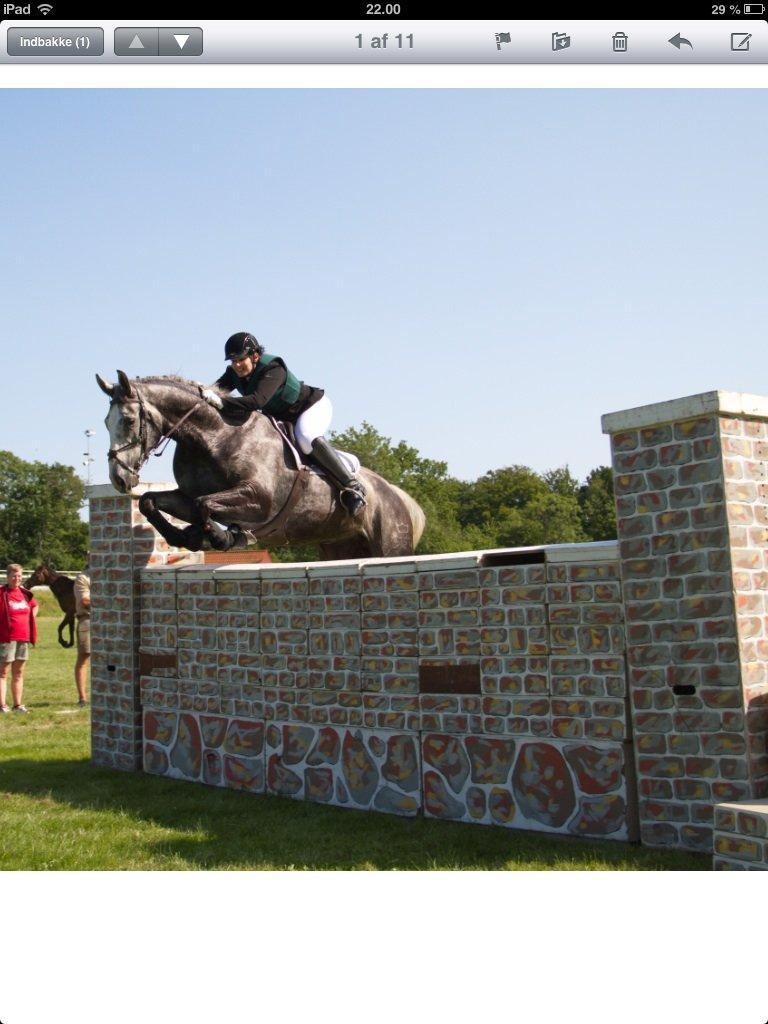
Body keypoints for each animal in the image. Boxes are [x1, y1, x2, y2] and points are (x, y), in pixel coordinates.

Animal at [97, 370, 428, 561]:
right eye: (105, 423)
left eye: (128, 420)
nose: (119, 478)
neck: (213, 435)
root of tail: (400, 497)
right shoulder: (186, 496)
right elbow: (152, 501)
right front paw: (184, 536)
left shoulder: (260, 498)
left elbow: (206, 504)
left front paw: (220, 537)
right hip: (340, 546)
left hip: (390, 545)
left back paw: (355, 493)